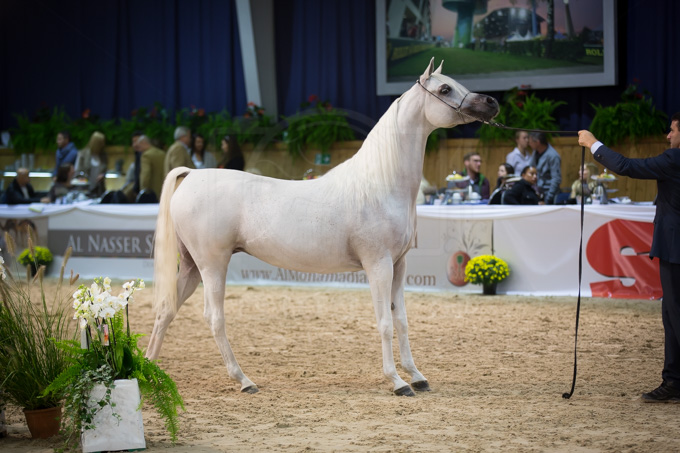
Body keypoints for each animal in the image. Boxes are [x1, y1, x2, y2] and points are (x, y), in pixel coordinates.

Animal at [146, 58, 499, 396]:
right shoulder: (378, 265)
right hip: (212, 265)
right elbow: (384, 322)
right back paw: (244, 380)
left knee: (165, 309)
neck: (380, 183)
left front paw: (417, 377)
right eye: (444, 89)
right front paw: (397, 382)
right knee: (214, 318)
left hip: (191, 266)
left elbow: (401, 321)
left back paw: (148, 371)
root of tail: (192, 174)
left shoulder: (399, 265)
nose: (492, 103)